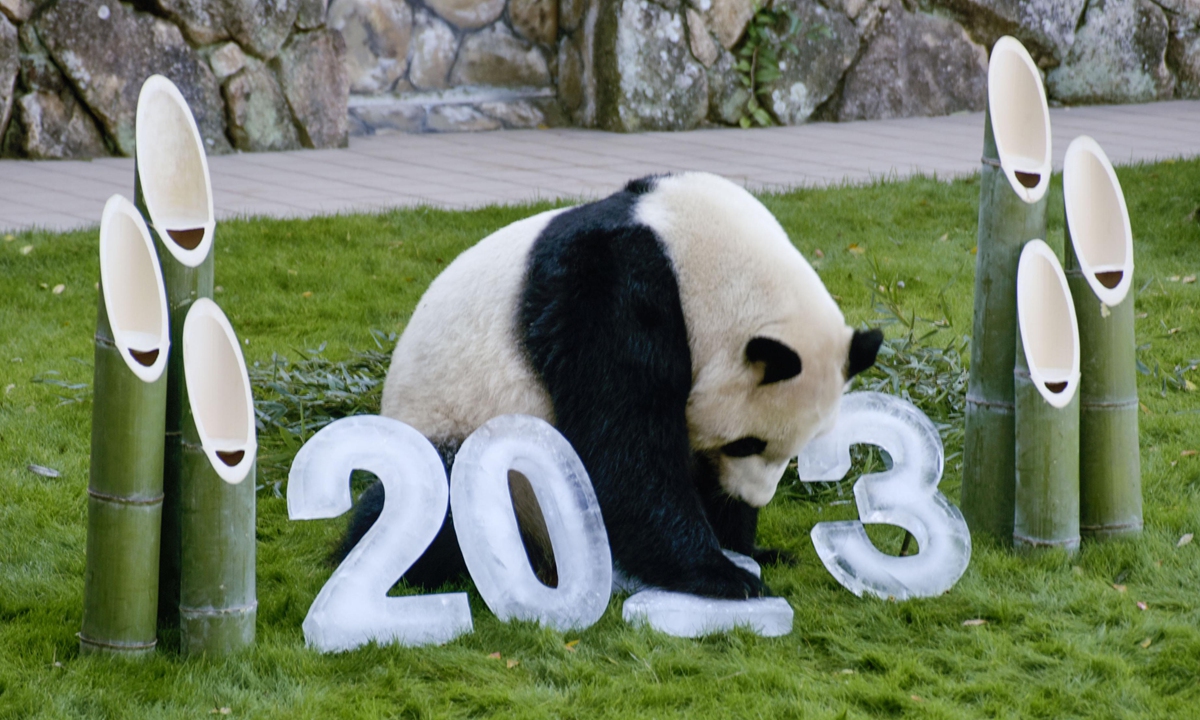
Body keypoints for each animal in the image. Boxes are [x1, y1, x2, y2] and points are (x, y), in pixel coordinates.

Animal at [338, 171, 883, 600]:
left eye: (798, 449)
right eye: (747, 443)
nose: (752, 498)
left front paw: (747, 549)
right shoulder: (610, 291)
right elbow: (626, 443)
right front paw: (724, 575)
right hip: (460, 435)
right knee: (437, 506)